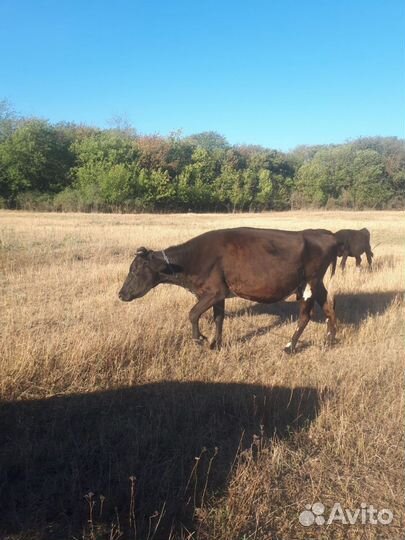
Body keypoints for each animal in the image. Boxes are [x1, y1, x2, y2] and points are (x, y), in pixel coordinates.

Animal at [117, 228, 338, 354]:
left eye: (134, 270)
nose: (121, 294)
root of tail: (326, 235)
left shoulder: (214, 291)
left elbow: (192, 313)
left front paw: (200, 339)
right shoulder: (220, 293)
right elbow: (218, 318)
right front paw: (216, 344)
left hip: (310, 282)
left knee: (305, 316)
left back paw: (290, 347)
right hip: (316, 284)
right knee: (329, 308)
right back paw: (328, 341)